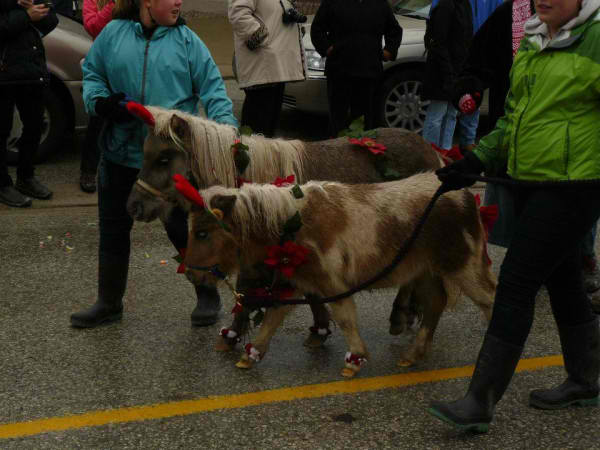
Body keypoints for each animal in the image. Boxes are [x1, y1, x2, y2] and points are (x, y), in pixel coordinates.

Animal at [184, 172, 496, 376]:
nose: (190, 274)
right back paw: (412, 355)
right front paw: (252, 355)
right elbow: (273, 318)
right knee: (435, 303)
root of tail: (465, 195)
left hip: (464, 266)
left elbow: (345, 318)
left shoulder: (332, 283)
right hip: (425, 270)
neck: (291, 224)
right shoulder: (296, 283)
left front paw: (355, 359)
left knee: (489, 300)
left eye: (202, 233)